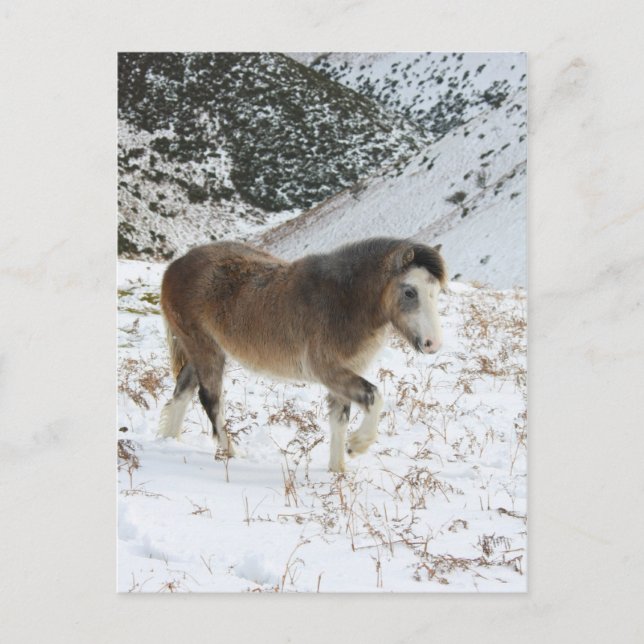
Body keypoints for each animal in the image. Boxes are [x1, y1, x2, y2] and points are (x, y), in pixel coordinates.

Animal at [158, 237, 447, 473]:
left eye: (436, 293)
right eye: (410, 291)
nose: (432, 344)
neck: (344, 300)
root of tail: (176, 265)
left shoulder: (342, 376)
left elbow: (339, 420)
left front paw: (337, 472)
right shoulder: (330, 372)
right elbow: (374, 398)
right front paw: (357, 445)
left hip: (200, 351)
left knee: (183, 392)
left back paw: (170, 441)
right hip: (207, 351)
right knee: (210, 400)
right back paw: (231, 453)